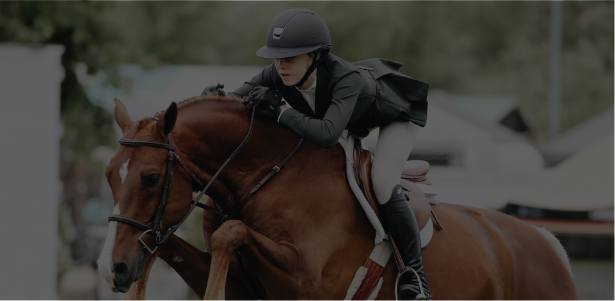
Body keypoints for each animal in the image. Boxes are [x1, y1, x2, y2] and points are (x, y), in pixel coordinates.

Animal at [97, 96, 576, 300]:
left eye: (151, 178)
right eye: (108, 177)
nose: (111, 269)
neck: (264, 176)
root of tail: (548, 244)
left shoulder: (307, 281)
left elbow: (229, 232)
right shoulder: (251, 286)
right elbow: (169, 245)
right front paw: (136, 277)